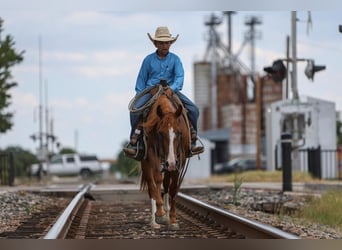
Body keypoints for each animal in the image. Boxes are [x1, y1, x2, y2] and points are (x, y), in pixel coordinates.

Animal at [140, 88, 191, 230]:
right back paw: (154, 221)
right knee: (151, 186)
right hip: (147, 163)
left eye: (179, 132)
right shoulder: (153, 154)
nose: (171, 163)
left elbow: (173, 188)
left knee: (167, 185)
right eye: (160, 133)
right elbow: (157, 179)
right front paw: (160, 213)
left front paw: (172, 219)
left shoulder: (180, 159)